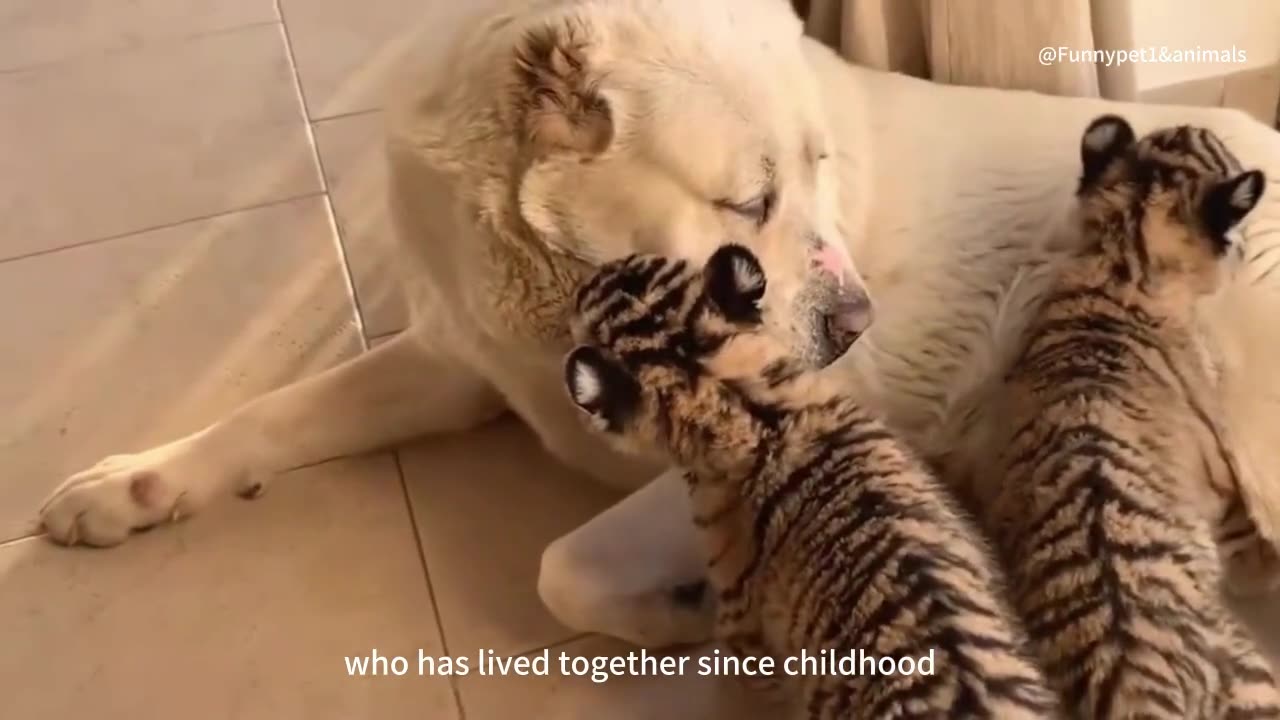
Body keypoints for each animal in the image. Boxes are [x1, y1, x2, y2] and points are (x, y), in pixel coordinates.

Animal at [35, 0, 1280, 648]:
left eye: (817, 169)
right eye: (748, 201)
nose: (857, 319)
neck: (559, 299)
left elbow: (560, 568)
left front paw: (695, 601)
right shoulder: (455, 361)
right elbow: (268, 416)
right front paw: (131, 486)